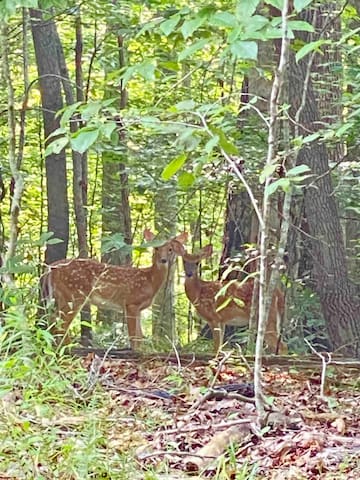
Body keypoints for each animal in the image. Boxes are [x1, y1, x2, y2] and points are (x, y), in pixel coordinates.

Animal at [41, 229, 188, 348]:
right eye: (156, 248)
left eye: (170, 249)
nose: (163, 260)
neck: (150, 281)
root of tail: (50, 268)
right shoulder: (131, 303)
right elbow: (133, 337)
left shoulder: (139, 308)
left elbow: (139, 336)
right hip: (75, 294)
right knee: (62, 325)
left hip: (60, 296)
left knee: (53, 321)